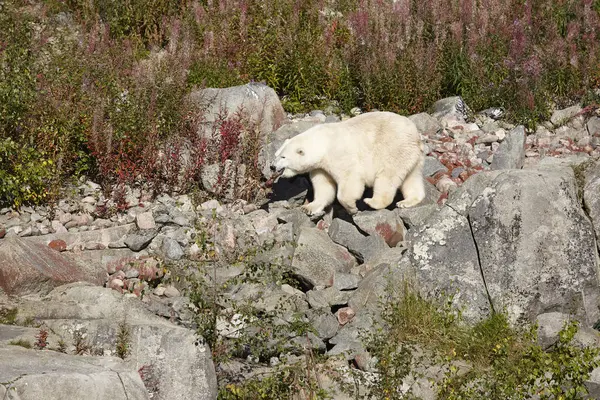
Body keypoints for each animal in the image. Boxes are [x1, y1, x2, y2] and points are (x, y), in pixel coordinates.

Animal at [272, 111, 426, 216]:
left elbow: (350, 180)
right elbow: (324, 186)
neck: (324, 143)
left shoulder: (340, 154)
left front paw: (352, 208)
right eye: (276, 154)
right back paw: (407, 201)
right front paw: (309, 207)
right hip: (412, 156)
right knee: (411, 178)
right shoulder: (320, 167)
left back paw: (373, 202)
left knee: (387, 177)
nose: (272, 166)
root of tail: (416, 135)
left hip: (393, 149)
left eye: (283, 157)